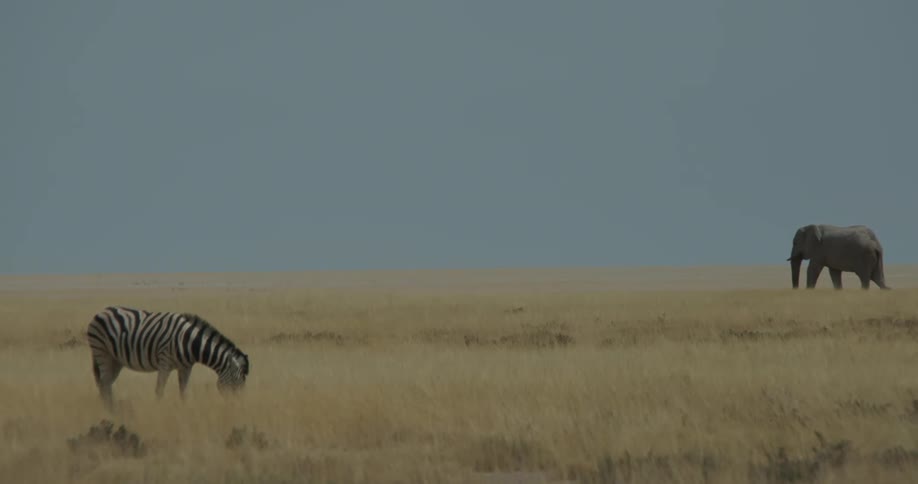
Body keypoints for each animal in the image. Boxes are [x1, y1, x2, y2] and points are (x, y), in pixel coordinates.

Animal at [86, 306, 250, 409]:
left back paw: (110, 408)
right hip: (102, 351)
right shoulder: (164, 362)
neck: (189, 342)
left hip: (115, 360)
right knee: (104, 384)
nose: (237, 406)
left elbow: (183, 391)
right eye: (237, 383)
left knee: (106, 384)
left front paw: (184, 409)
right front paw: (159, 409)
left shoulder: (186, 367)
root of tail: (101, 311)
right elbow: (159, 390)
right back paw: (110, 410)